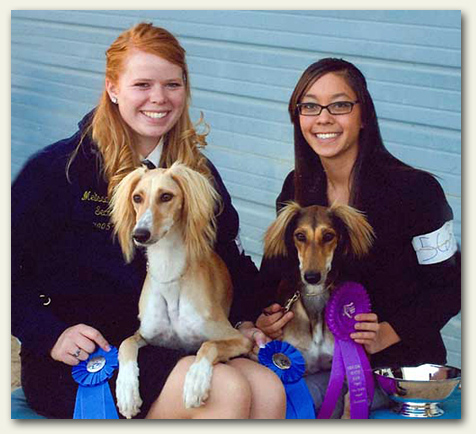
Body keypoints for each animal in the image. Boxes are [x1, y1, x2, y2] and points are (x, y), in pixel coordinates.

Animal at [110, 162, 253, 418]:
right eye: (137, 197)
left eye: (166, 196)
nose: (140, 234)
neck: (169, 274)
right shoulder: (146, 334)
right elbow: (126, 343)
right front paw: (127, 391)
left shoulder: (238, 339)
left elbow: (208, 345)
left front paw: (196, 379)